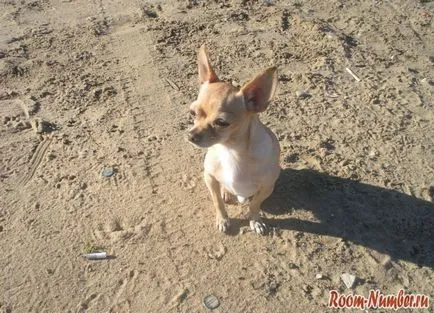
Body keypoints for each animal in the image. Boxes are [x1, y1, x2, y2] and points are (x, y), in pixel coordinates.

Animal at [188, 44, 280, 234]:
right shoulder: (209, 178)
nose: (191, 135)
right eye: (192, 113)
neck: (231, 150)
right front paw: (223, 219)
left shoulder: (267, 187)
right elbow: (217, 202)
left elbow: (255, 205)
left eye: (221, 122)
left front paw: (255, 221)